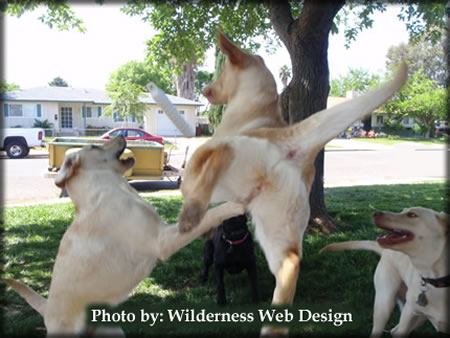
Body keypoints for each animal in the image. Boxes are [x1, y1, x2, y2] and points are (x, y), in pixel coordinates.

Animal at [178, 29, 408, 336]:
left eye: (223, 71)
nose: (204, 90)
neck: (258, 108)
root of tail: (290, 141)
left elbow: (195, 170)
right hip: (277, 224)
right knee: (290, 265)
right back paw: (274, 326)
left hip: (235, 174)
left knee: (215, 156)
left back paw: (191, 212)